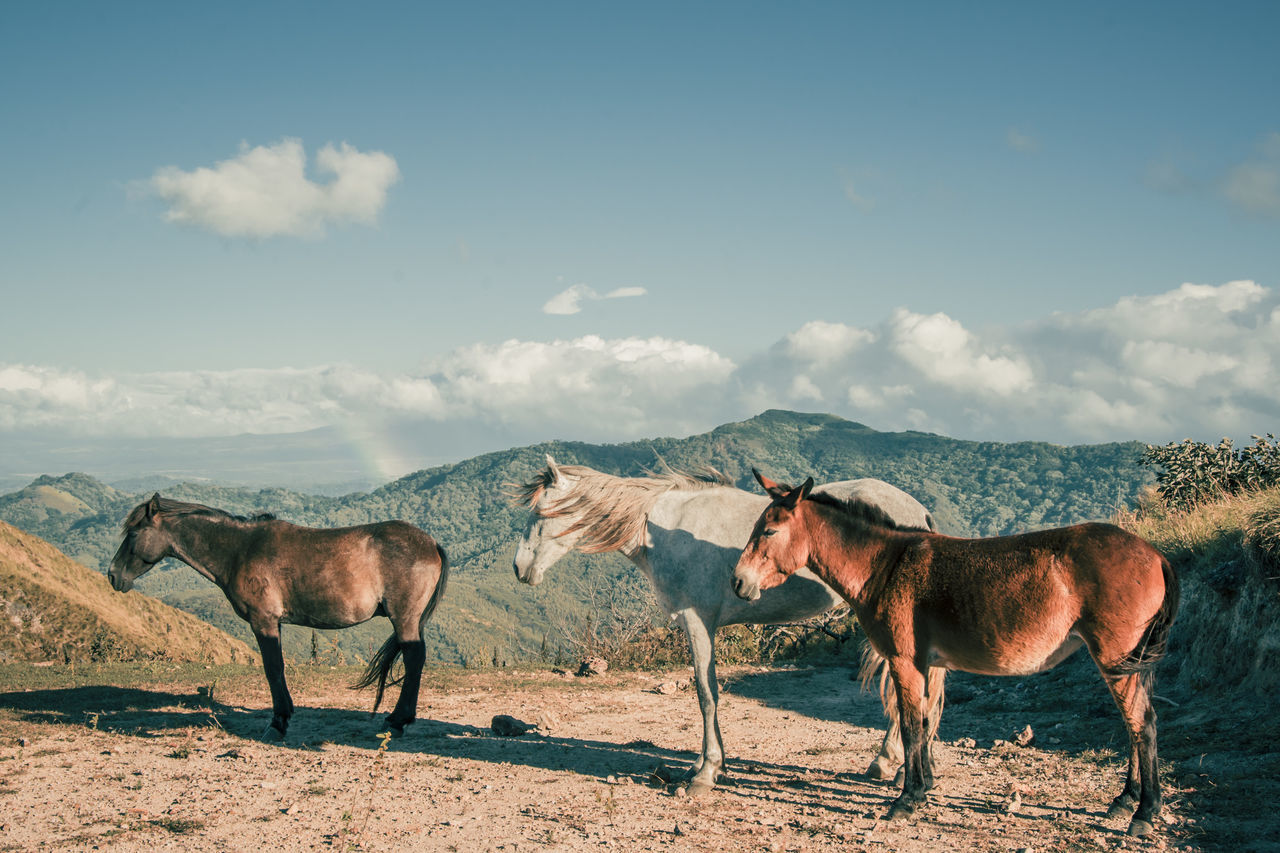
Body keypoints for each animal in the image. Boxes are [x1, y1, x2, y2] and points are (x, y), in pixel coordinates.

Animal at [111, 491, 450, 737]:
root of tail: (430, 543)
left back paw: (398, 720)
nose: (113, 575)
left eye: (134, 534)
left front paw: (278, 721)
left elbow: (273, 668)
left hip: (404, 619)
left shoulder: (264, 621)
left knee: (414, 661)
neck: (239, 550)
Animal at [506, 455, 942, 794]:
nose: (519, 568)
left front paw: (707, 771)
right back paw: (892, 763)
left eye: (540, 513)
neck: (664, 529)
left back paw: (899, 768)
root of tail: (919, 512)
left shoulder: (698, 622)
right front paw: (706, 766)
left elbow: (706, 693)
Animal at [732, 471, 1177, 835]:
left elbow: (911, 724)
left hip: (1116, 660)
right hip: (1129, 663)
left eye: (769, 532)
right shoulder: (927, 664)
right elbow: (927, 719)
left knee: (1143, 724)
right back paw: (1124, 802)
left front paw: (907, 799)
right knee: (1135, 724)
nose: (738, 583)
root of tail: (1155, 554)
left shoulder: (904, 661)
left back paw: (1144, 813)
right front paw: (925, 785)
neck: (885, 565)